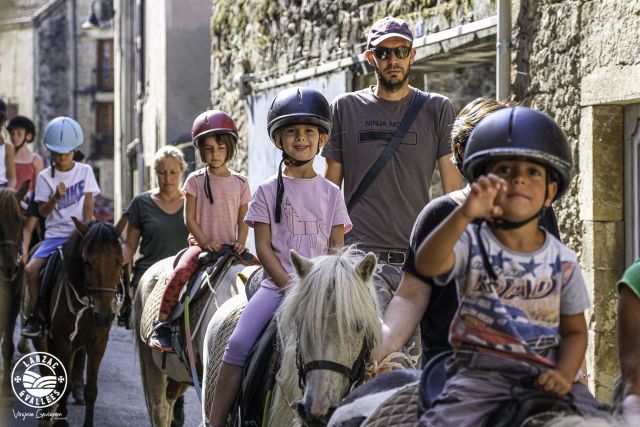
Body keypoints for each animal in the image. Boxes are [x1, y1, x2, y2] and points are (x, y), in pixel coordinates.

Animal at [34, 219, 125, 426]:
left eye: (119, 260)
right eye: (87, 262)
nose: (105, 316)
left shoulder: (98, 344)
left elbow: (91, 388)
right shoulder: (62, 341)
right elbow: (63, 385)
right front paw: (61, 421)